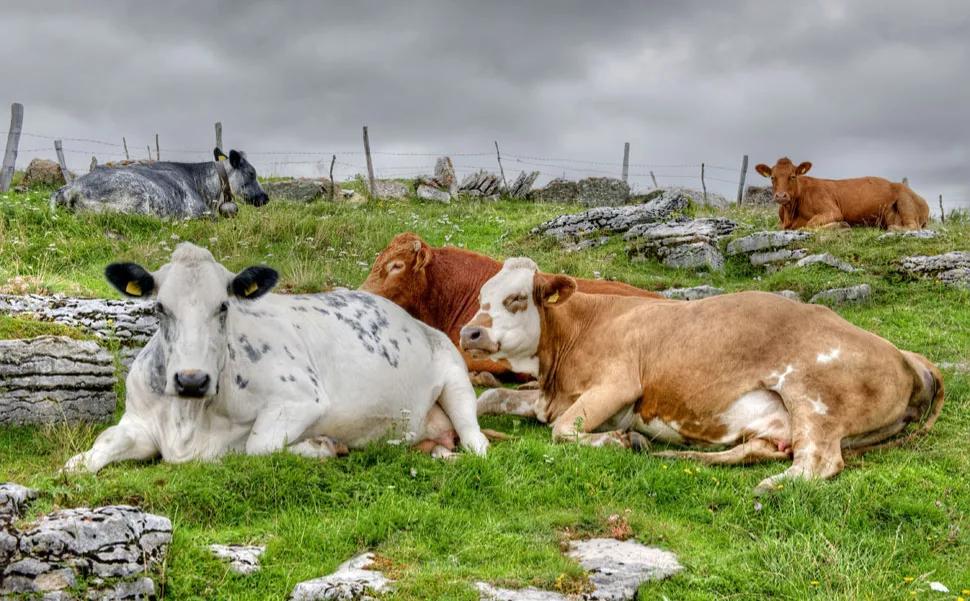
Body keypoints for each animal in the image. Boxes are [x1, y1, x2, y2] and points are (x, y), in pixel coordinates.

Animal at [65, 241, 488, 472]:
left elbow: (257, 447)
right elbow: (92, 452)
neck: (190, 420)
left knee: (475, 439)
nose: (191, 379)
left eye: (223, 306)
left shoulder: (300, 398)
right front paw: (78, 463)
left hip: (456, 377)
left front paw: (319, 446)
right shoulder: (138, 420)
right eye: (159, 308)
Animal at [458, 258, 940, 492]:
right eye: (481, 297)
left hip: (814, 397)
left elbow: (561, 430)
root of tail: (903, 353)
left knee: (817, 461)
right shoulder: (547, 395)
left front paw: (617, 440)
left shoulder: (619, 383)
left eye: (517, 298)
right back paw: (676, 455)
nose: (469, 332)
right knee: (760, 450)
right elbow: (488, 399)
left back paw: (770, 488)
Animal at [752, 158, 928, 231]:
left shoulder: (833, 210)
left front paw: (841, 225)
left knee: (913, 226)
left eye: (793, 176)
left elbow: (810, 224)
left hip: (905, 200)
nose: (781, 196)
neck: (790, 215)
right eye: (772, 177)